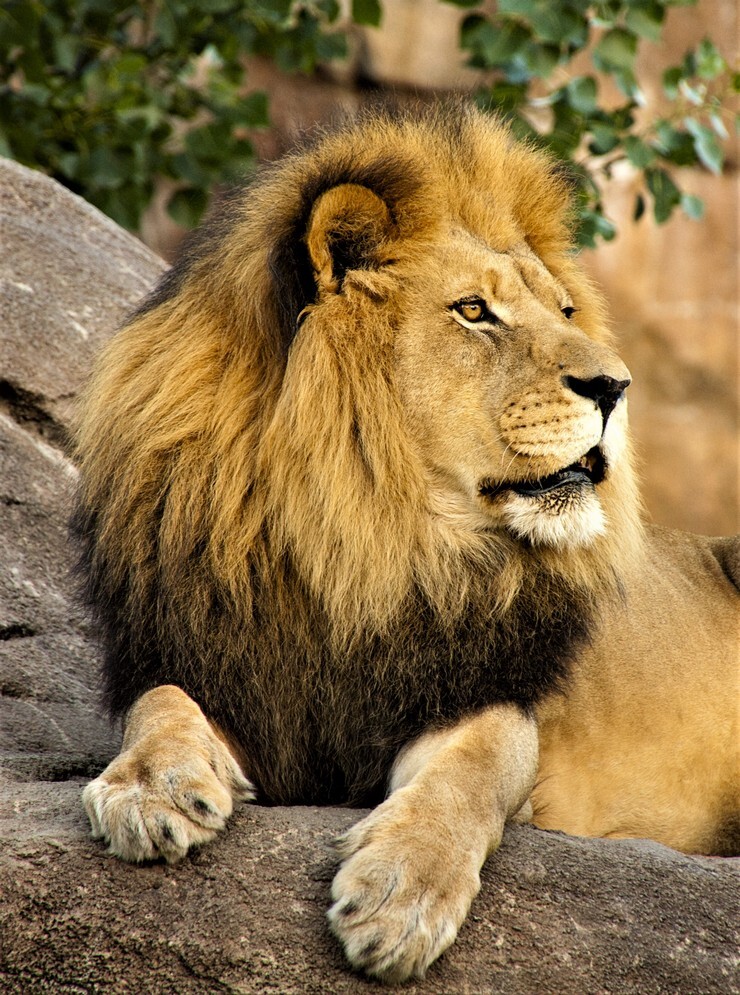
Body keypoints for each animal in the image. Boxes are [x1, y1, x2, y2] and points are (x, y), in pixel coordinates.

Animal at [74, 104, 739, 983]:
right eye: (474, 311)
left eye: (565, 313)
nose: (617, 385)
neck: (369, 543)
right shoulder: (222, 663)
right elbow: (159, 701)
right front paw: (151, 789)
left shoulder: (479, 689)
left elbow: (480, 763)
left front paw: (402, 894)